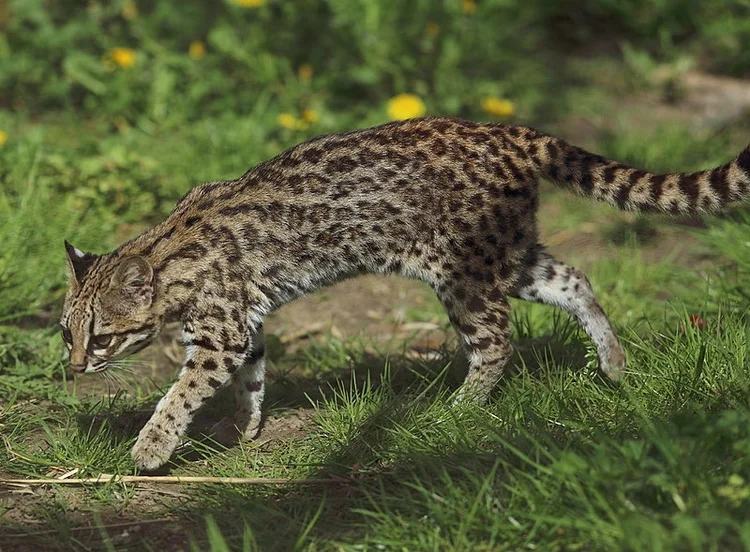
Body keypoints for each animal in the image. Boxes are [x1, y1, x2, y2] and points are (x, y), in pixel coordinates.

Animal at [60, 117, 750, 470]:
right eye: (67, 332)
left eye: (102, 336)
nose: (71, 369)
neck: (167, 259)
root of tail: (511, 132)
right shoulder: (243, 323)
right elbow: (252, 377)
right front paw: (245, 427)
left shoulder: (221, 331)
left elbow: (180, 393)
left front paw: (151, 447)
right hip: (507, 255)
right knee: (575, 278)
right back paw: (613, 361)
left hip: (462, 272)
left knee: (497, 342)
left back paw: (460, 408)